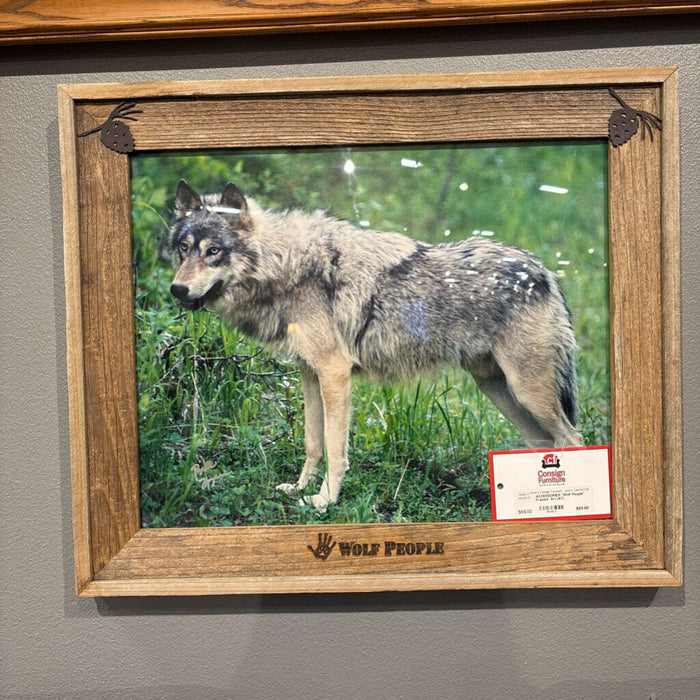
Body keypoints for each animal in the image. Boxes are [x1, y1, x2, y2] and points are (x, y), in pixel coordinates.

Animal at [169, 180, 583, 510]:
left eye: (213, 251)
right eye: (184, 249)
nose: (177, 289)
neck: (288, 266)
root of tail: (544, 271)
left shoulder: (335, 374)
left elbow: (335, 449)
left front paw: (324, 500)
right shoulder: (310, 374)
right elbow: (312, 442)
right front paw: (299, 490)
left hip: (527, 391)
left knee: (573, 438)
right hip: (499, 391)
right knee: (545, 444)